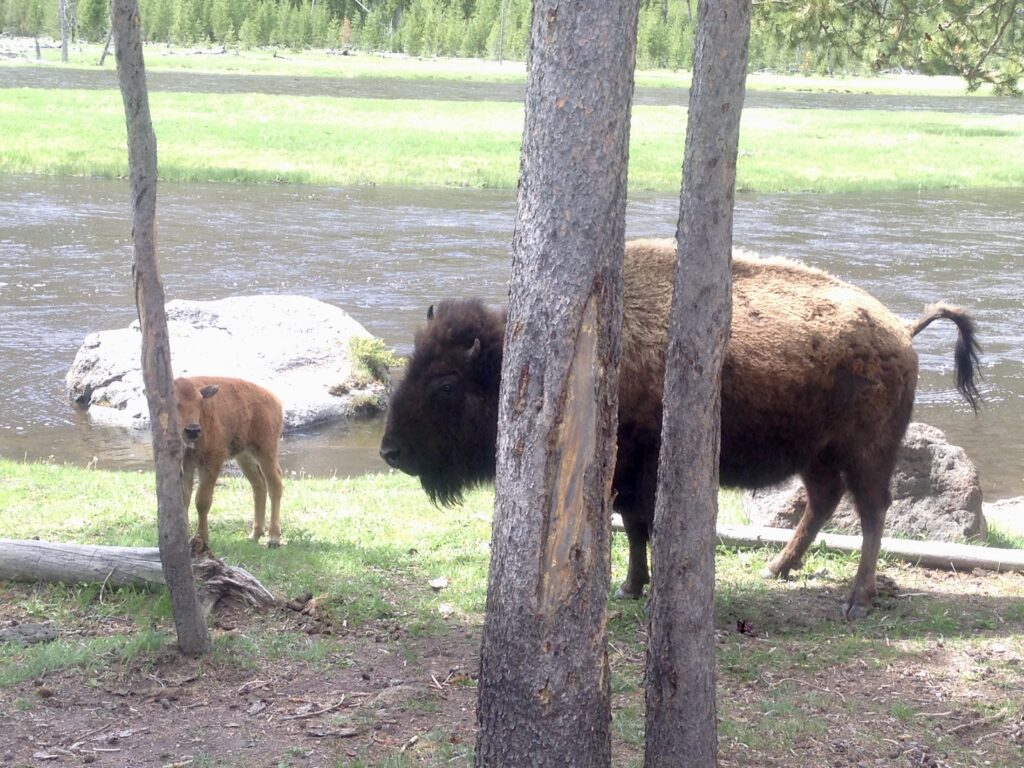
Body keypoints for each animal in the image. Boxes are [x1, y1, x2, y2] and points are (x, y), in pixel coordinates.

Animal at [172, 376, 284, 548]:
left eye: (200, 401)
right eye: (175, 402)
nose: (192, 430)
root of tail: (274, 399)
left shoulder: (212, 461)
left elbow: (202, 501)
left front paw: (202, 538)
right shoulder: (185, 466)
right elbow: (184, 499)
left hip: (265, 451)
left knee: (275, 484)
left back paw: (273, 538)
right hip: (244, 457)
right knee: (258, 485)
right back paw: (254, 534)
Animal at [380, 237, 978, 622]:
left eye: (446, 384)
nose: (390, 451)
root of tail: (900, 330)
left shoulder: (636, 470)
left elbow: (638, 525)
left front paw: (632, 585)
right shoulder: (623, 478)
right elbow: (633, 526)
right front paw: (631, 587)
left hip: (867, 451)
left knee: (873, 514)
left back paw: (856, 600)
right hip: (817, 456)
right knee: (824, 503)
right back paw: (777, 569)